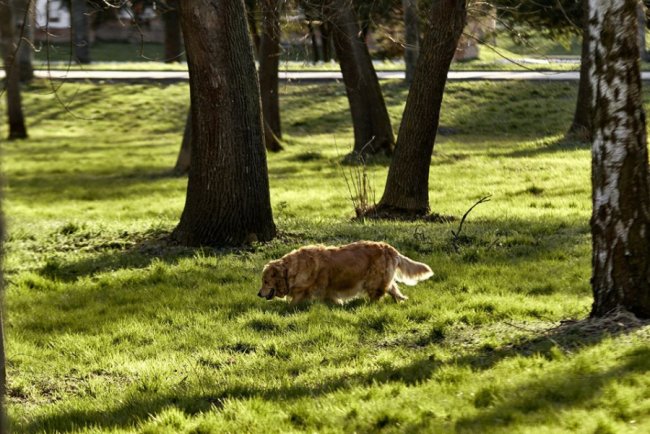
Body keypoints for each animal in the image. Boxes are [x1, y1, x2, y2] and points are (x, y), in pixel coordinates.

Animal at [256, 241, 430, 306]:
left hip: (373, 280)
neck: (291, 269)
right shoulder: (327, 290)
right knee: (393, 289)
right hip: (382, 278)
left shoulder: (306, 290)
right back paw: (401, 300)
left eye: (265, 281)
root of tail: (389, 248)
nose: (258, 294)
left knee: (379, 294)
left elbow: (293, 302)